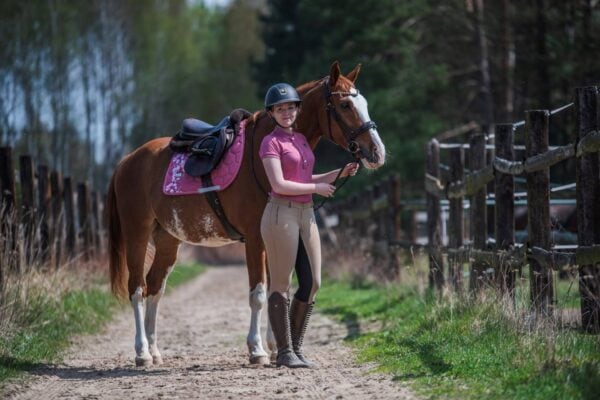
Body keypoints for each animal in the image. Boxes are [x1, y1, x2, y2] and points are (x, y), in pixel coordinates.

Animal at [108, 61, 386, 366]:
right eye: (345, 104)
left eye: (364, 103)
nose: (377, 152)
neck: (259, 157)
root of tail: (127, 161)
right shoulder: (255, 239)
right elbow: (260, 294)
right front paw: (258, 350)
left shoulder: (272, 241)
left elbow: (278, 287)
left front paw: (276, 347)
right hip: (137, 235)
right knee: (137, 289)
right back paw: (142, 352)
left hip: (168, 240)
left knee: (155, 288)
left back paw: (155, 350)